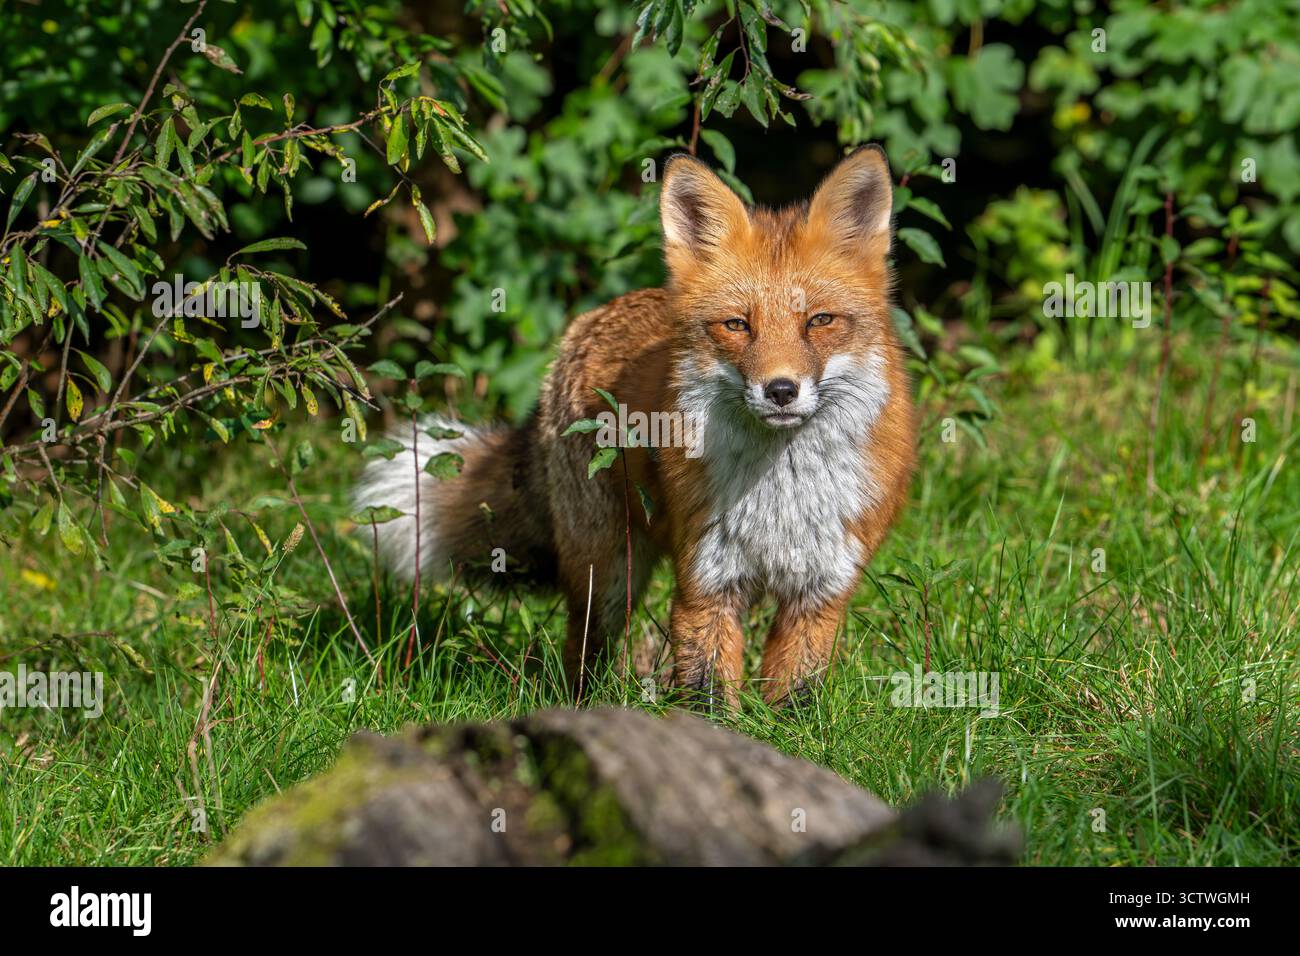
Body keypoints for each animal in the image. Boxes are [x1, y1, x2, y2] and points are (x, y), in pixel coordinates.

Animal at [354, 145, 916, 708]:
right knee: (583, 649)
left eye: (819, 321)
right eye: (737, 325)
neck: (782, 497)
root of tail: (588, 321)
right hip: (607, 573)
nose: (780, 390)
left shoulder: (820, 592)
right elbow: (708, 697)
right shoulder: (705, 584)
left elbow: (796, 697)